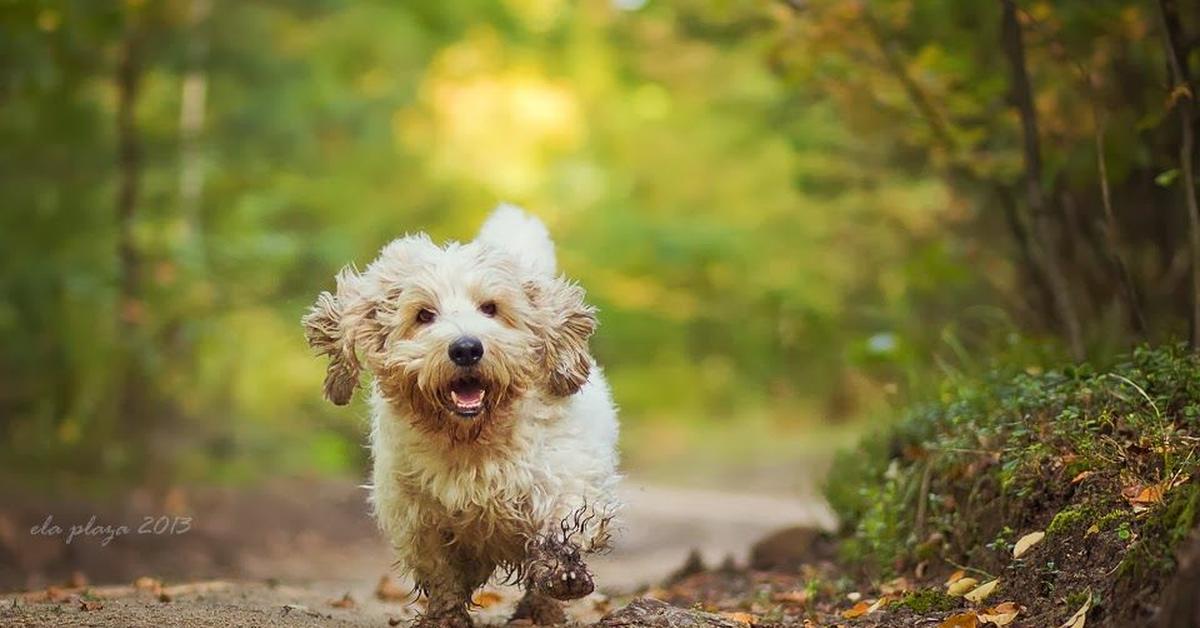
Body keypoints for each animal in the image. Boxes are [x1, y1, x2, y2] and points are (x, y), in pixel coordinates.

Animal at [302, 206, 619, 628]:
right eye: (423, 315)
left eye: (491, 308)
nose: (467, 348)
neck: (472, 438)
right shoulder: (417, 515)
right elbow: (441, 572)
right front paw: (446, 616)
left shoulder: (565, 472)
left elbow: (564, 518)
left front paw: (564, 572)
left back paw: (540, 611)